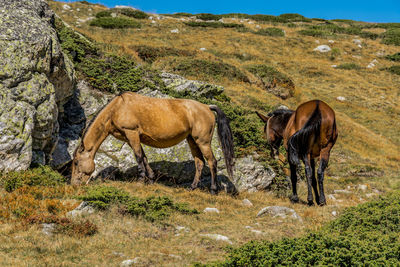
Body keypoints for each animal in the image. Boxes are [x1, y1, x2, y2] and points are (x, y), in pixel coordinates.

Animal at [71, 92, 234, 195]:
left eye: (76, 162)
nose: (74, 184)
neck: (117, 108)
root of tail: (207, 107)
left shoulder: (132, 133)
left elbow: (138, 157)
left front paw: (140, 180)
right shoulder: (131, 138)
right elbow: (143, 157)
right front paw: (150, 179)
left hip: (203, 141)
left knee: (212, 162)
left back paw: (213, 190)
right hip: (192, 140)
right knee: (199, 162)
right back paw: (192, 187)